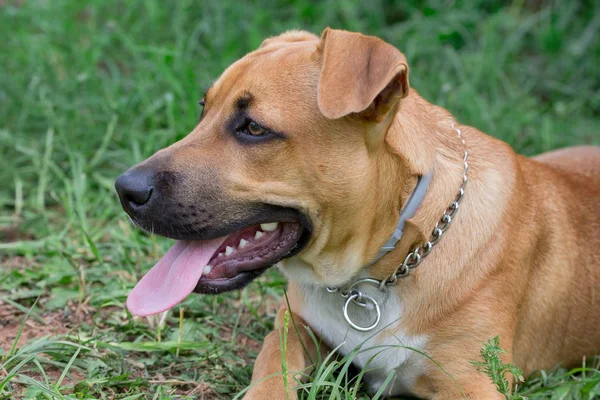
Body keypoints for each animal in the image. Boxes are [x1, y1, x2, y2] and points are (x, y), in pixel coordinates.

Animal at [113, 28, 600, 400]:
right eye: (203, 110)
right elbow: (272, 369)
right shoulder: (293, 325)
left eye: (253, 128)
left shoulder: (472, 381)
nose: (124, 189)